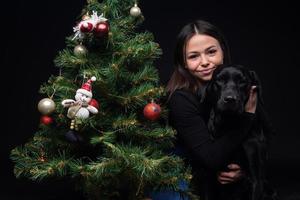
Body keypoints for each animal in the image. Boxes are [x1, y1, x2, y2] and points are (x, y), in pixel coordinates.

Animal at [203, 65, 278, 199]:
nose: (230, 99)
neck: (230, 124)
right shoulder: (209, 177)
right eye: (220, 80)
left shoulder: (256, 179)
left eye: (242, 81)